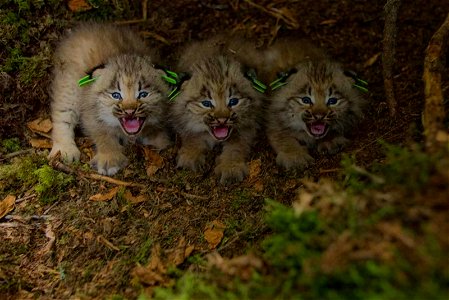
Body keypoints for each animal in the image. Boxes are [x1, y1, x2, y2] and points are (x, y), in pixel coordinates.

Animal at [48, 22, 172, 176]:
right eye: (116, 95)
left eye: (143, 94)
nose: (130, 111)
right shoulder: (91, 114)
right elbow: (104, 134)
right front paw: (109, 158)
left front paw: (159, 139)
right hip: (69, 85)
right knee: (62, 114)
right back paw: (65, 149)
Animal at [264, 39, 366, 170]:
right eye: (306, 100)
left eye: (332, 101)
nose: (319, 116)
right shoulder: (274, 121)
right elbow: (283, 138)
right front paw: (295, 156)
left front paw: (331, 140)